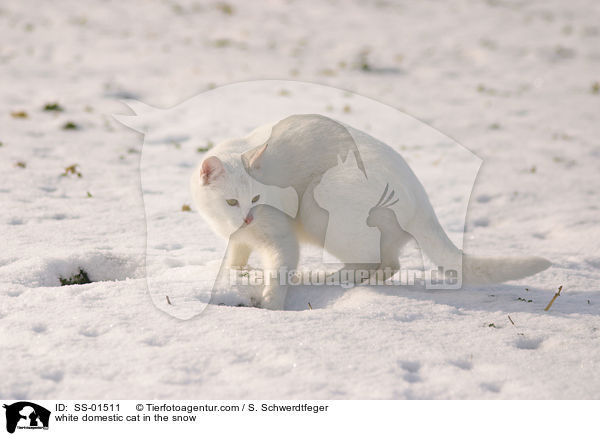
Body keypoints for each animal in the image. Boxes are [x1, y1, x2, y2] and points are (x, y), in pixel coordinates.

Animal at [190, 114, 552, 308]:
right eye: (232, 202)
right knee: (389, 262)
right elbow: (236, 256)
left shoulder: (281, 236)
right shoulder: (238, 237)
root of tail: (420, 198)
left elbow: (279, 267)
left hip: (318, 209)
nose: (249, 217)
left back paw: (323, 278)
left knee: (373, 260)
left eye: (257, 198)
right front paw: (237, 273)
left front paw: (271, 302)